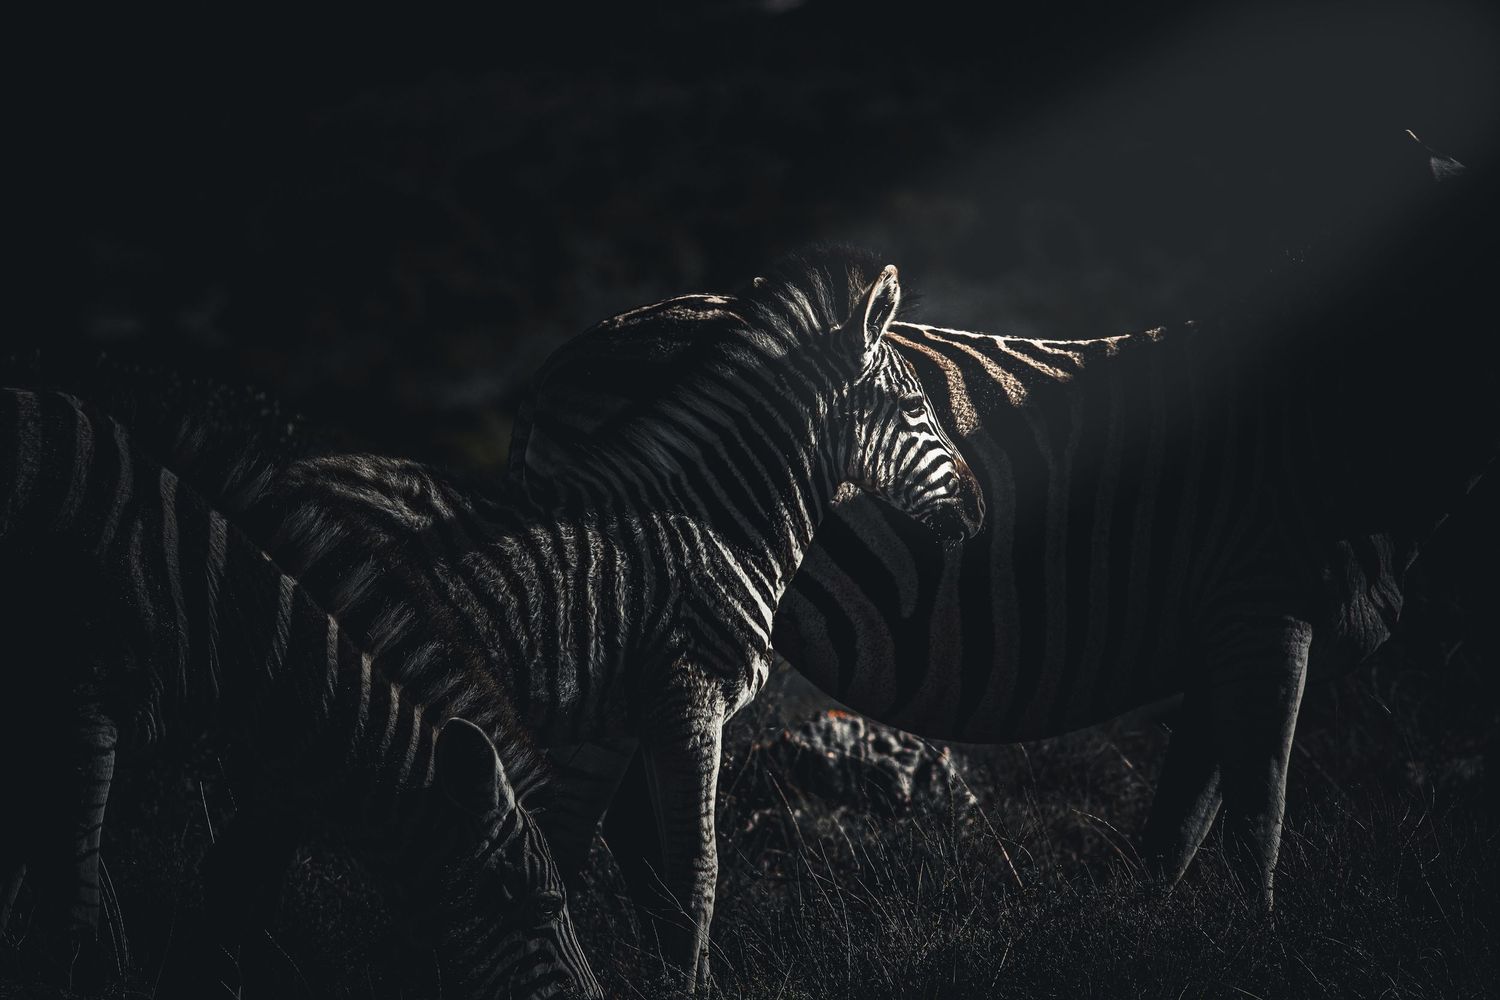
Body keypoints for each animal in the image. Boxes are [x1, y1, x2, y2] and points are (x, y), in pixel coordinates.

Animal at [0, 388, 601, 999]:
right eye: (544, 906)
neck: (209, 603)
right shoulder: (81, 704)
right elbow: (73, 908)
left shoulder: (41, 709)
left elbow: (15, 865)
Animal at [209, 252, 982, 988]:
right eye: (914, 405)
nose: (977, 508)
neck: (718, 521)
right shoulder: (688, 703)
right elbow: (695, 876)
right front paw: (689, 987)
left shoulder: (614, 720)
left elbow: (591, 854)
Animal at [509, 164, 1498, 909]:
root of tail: (566, 356)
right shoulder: (1259, 610)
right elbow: (1256, 826)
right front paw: (1252, 949)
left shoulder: (1220, 643)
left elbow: (1178, 831)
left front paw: (1162, 948)